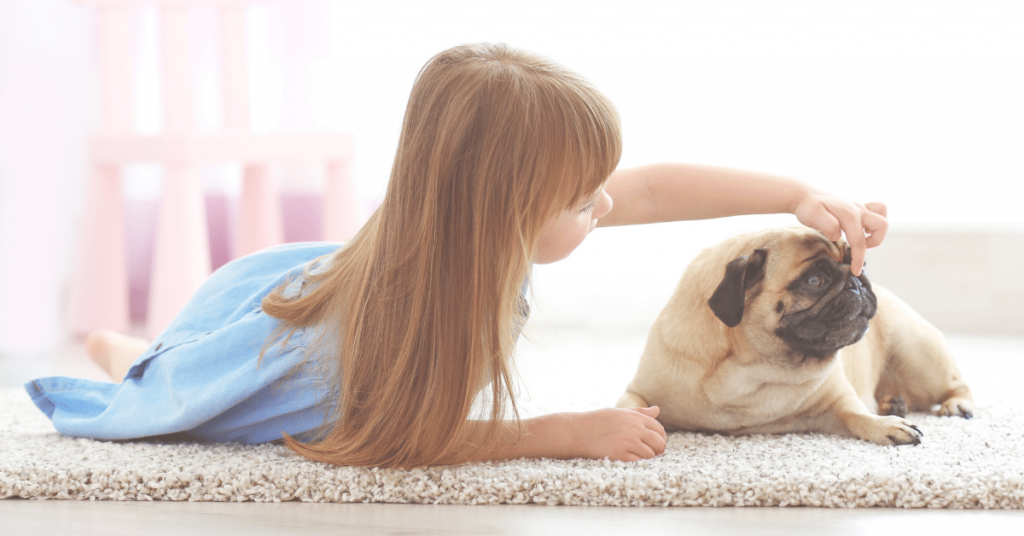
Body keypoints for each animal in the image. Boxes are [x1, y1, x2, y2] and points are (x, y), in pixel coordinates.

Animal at [614, 226, 974, 444]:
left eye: (861, 265)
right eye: (814, 280)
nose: (857, 282)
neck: (751, 368)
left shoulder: (838, 404)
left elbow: (857, 414)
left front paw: (886, 427)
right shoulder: (640, 392)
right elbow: (629, 408)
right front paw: (632, 429)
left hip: (918, 355)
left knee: (956, 385)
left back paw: (952, 405)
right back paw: (892, 402)